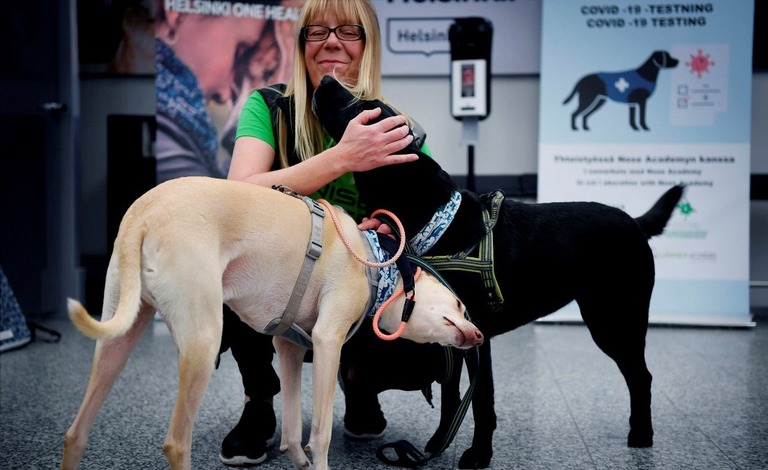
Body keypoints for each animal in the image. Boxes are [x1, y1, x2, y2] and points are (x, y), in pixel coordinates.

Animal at [61, 177, 480, 470]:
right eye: (461, 304)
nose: (478, 336)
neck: (374, 259)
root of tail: (143, 215)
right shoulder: (327, 342)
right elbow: (320, 434)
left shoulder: (289, 348)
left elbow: (293, 431)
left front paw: (299, 462)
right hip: (203, 343)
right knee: (176, 443)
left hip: (118, 340)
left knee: (75, 434)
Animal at [312, 75, 684, 468]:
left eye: (362, 107)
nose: (326, 78)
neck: (439, 220)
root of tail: (636, 222)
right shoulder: (450, 333)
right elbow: (451, 395)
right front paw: (440, 441)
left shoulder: (479, 336)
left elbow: (481, 402)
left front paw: (479, 454)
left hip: (615, 321)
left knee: (641, 376)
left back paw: (641, 434)